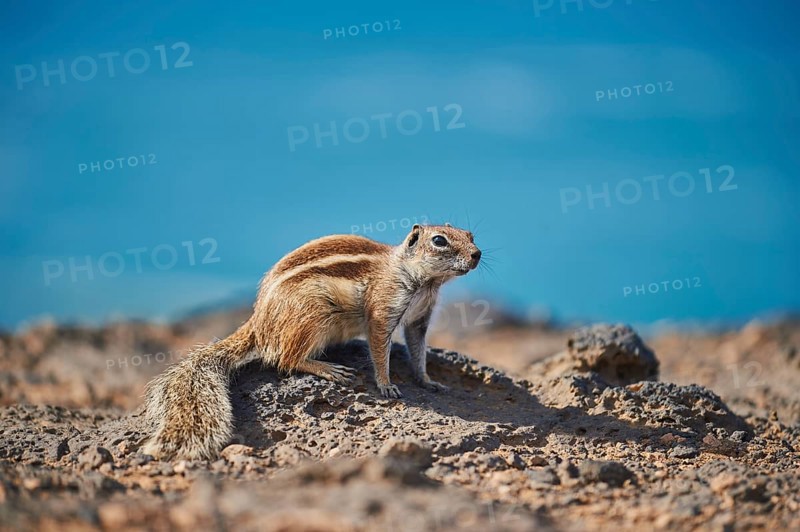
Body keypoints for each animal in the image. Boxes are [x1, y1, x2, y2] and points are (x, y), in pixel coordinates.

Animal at [142, 223, 481, 460]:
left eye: (470, 234)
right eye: (439, 240)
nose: (477, 254)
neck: (425, 282)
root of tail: (258, 323)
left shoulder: (419, 320)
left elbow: (418, 350)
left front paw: (428, 380)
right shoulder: (382, 310)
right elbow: (379, 349)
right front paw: (387, 385)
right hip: (314, 315)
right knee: (286, 360)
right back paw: (329, 369)